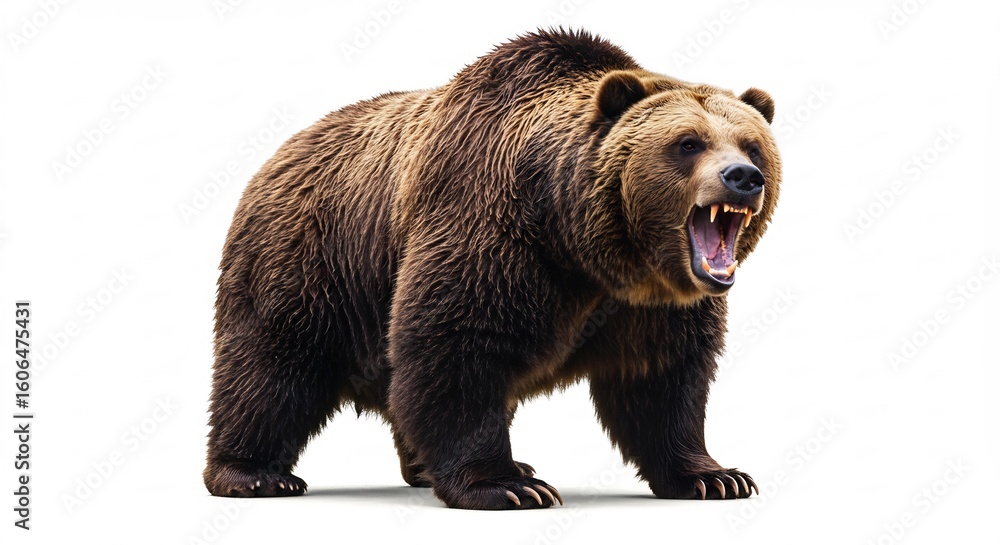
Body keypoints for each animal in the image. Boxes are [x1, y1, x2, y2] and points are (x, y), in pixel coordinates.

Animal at [204, 28, 781, 510]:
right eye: (688, 143)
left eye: (753, 145)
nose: (742, 177)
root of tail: (279, 154)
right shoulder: (490, 231)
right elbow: (457, 345)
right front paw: (507, 485)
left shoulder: (651, 302)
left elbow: (663, 378)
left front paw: (715, 476)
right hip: (308, 262)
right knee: (270, 368)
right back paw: (253, 473)